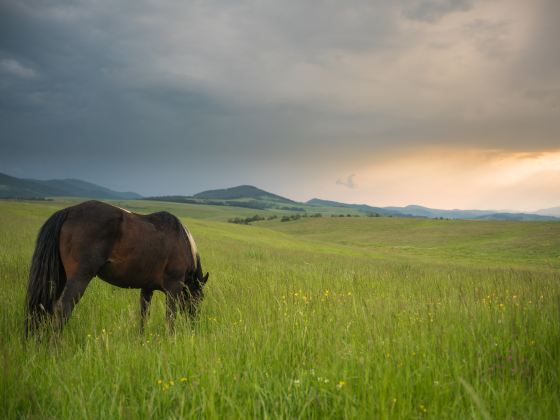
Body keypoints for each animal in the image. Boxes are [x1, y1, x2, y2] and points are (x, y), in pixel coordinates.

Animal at [23, 199, 208, 336]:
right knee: (63, 309)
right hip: (79, 278)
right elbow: (170, 317)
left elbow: (144, 316)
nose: (194, 326)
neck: (184, 242)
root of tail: (69, 211)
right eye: (199, 298)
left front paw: (141, 340)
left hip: (59, 278)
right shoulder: (173, 288)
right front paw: (171, 339)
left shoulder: (147, 289)